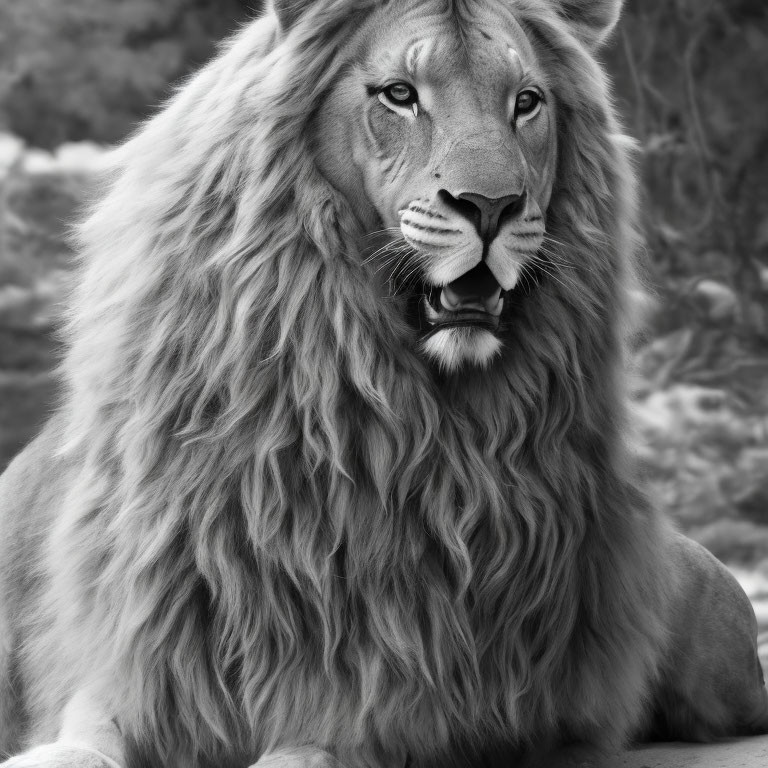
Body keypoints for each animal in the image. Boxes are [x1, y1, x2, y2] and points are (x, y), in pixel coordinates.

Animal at [1, 1, 768, 768]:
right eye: (399, 94)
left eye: (526, 102)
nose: (491, 207)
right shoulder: (136, 663)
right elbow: (86, 736)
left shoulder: (385, 698)